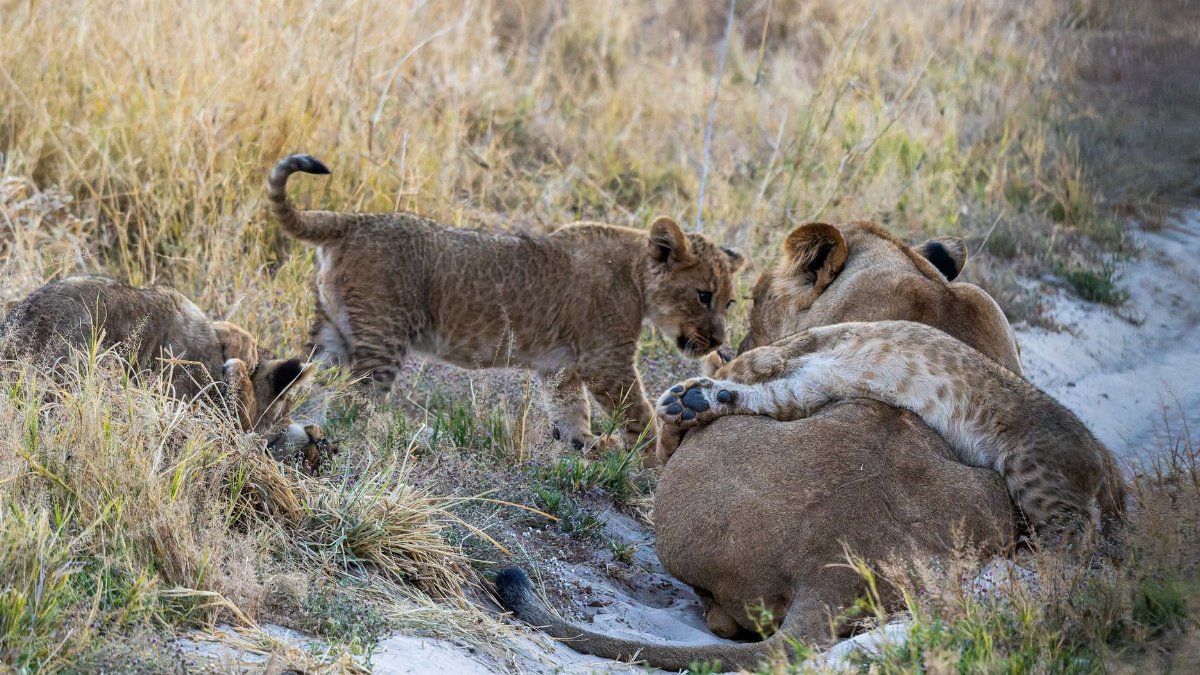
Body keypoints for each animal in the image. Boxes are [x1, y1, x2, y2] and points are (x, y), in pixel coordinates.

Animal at [268, 154, 745, 452]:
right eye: (703, 295)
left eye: (729, 303)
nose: (718, 342)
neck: (636, 274)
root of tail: (351, 220)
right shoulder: (605, 361)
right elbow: (637, 411)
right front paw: (650, 453)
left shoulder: (560, 368)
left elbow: (572, 410)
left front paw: (587, 446)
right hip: (383, 336)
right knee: (354, 402)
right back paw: (377, 437)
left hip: (332, 333)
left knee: (304, 382)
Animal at [496, 221, 1024, 670]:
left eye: (750, 299)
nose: (729, 346)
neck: (915, 276)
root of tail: (831, 569)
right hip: (997, 502)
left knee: (722, 617)